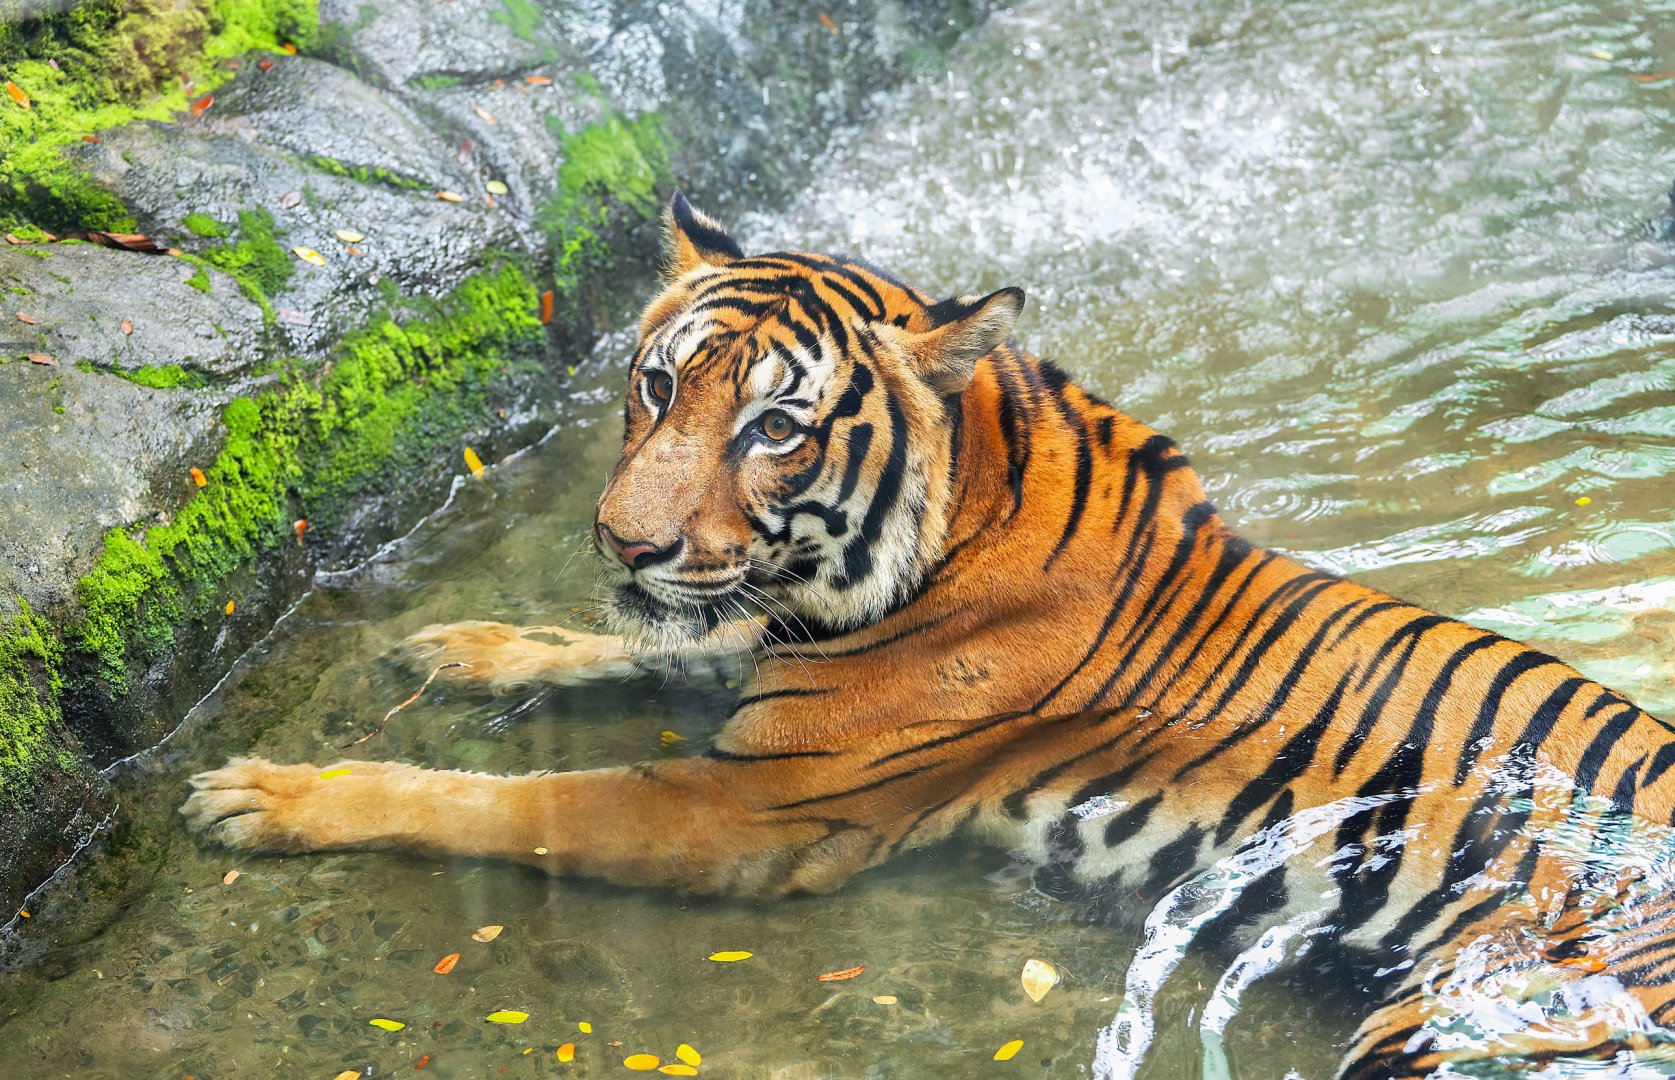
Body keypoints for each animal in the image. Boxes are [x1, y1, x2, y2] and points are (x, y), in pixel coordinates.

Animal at [183, 191, 1675, 1079]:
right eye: (656, 386)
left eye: (773, 427)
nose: (621, 540)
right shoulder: (754, 644)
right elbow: (638, 643)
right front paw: (470, 647)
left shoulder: (747, 810)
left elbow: (510, 805)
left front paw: (271, 795)